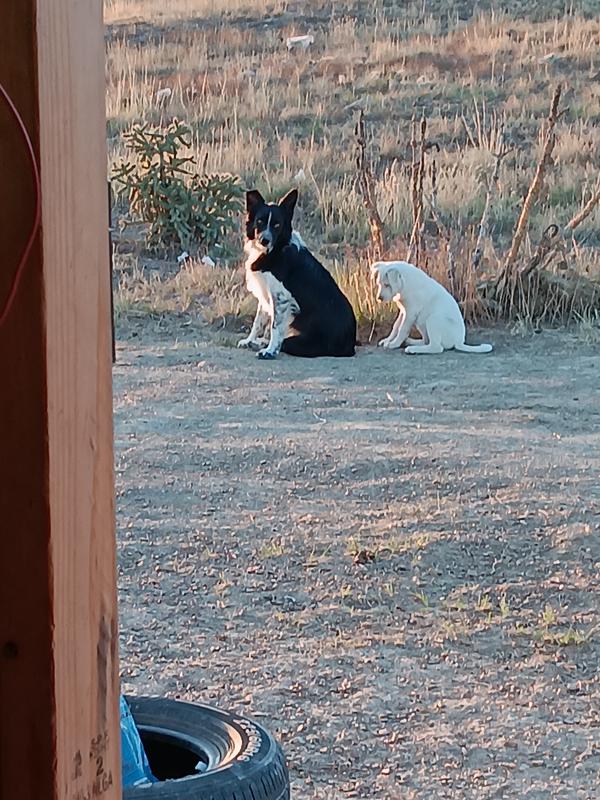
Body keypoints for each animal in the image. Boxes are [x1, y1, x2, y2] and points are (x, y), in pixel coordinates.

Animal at [237, 189, 354, 358]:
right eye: (259, 222)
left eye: (277, 224)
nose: (264, 240)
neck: (276, 250)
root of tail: (350, 345)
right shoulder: (266, 292)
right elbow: (258, 321)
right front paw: (249, 340)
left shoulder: (281, 297)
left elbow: (274, 327)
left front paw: (270, 351)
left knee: (285, 342)